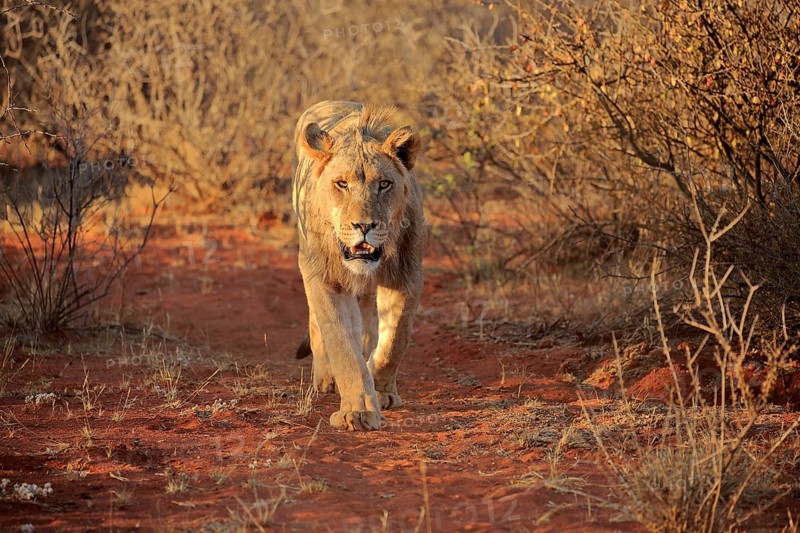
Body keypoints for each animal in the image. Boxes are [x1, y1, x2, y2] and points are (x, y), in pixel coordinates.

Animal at [291, 100, 426, 431]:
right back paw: (325, 379)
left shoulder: (407, 276)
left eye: (384, 184)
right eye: (342, 184)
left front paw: (381, 389)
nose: (364, 226)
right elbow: (342, 344)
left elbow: (394, 342)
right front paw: (358, 410)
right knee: (318, 324)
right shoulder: (325, 279)